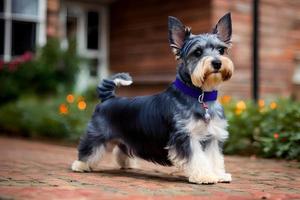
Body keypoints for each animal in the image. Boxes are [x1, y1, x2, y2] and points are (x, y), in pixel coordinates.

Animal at [71, 12, 233, 184]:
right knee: (89, 147)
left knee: (122, 148)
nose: (217, 63)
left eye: (221, 50)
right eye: (197, 52)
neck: (201, 96)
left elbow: (214, 158)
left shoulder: (213, 137)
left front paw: (218, 174)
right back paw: (81, 165)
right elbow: (197, 157)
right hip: (98, 134)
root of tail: (108, 98)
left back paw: (127, 164)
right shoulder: (185, 136)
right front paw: (205, 175)